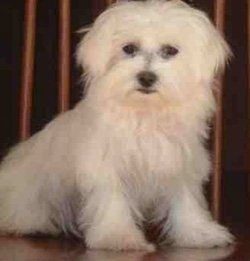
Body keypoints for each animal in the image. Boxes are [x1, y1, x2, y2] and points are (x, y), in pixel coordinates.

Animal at [0, 0, 234, 251]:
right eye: (129, 48)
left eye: (170, 50)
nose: (146, 77)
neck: (145, 113)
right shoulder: (106, 166)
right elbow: (112, 200)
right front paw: (118, 236)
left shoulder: (180, 164)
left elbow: (186, 200)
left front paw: (199, 233)